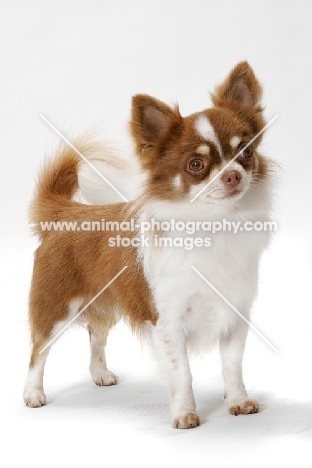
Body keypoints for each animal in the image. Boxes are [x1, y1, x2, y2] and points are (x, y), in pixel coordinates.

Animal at [23, 61, 272, 428]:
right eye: (196, 165)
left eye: (246, 151)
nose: (233, 175)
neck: (214, 224)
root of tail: (66, 212)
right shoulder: (167, 322)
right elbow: (182, 373)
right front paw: (185, 414)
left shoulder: (235, 316)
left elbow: (232, 366)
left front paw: (238, 401)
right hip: (55, 307)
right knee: (39, 349)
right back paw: (33, 393)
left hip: (104, 304)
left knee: (95, 336)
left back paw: (100, 375)